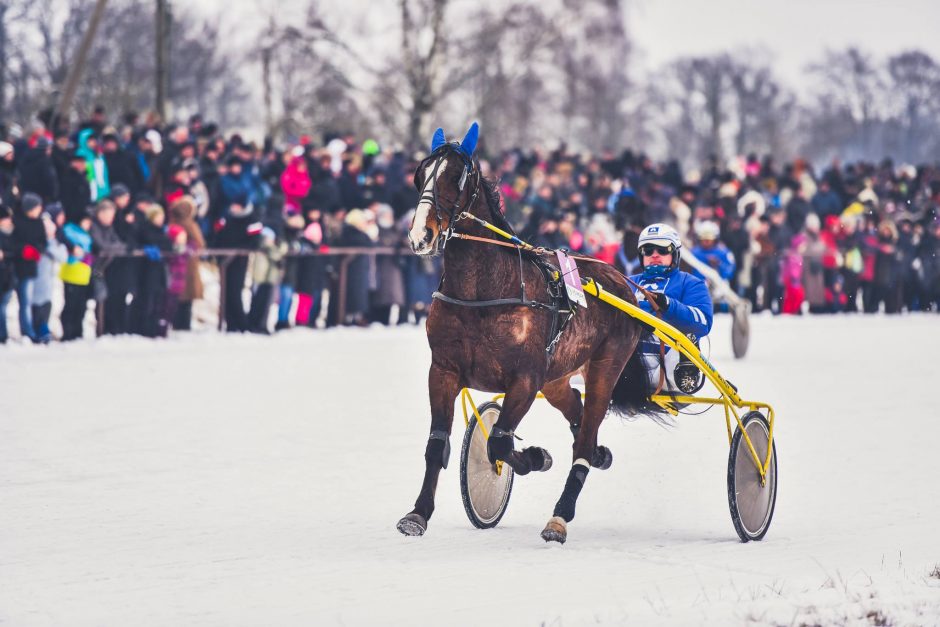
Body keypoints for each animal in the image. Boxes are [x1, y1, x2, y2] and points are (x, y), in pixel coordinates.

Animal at [392, 124, 648, 544]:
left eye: (456, 176)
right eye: (421, 174)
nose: (420, 235)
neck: (483, 293)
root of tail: (620, 281)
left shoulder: (525, 378)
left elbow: (498, 441)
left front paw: (535, 457)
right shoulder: (443, 370)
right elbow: (436, 444)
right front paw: (417, 513)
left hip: (606, 366)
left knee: (585, 434)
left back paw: (559, 517)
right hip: (557, 378)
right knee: (579, 417)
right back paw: (599, 453)